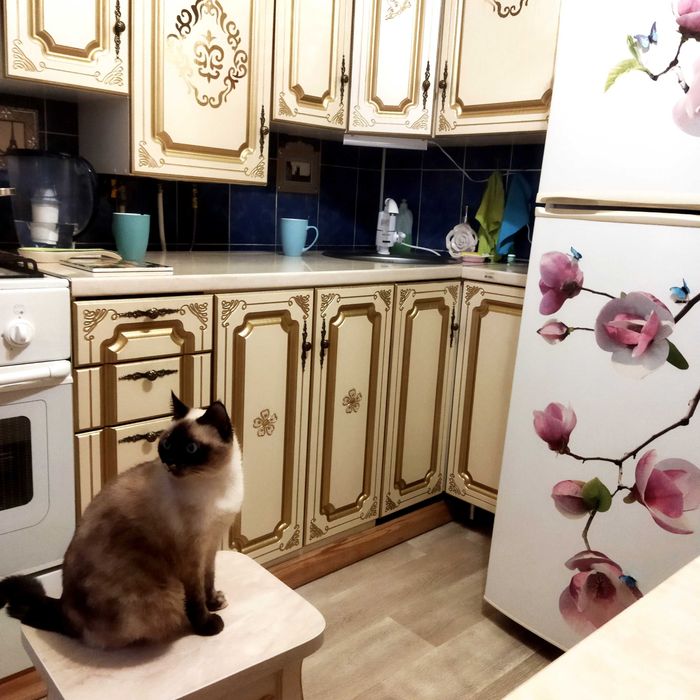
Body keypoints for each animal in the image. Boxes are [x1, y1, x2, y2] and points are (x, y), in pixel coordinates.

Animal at [0, 393, 243, 649]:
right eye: (167, 445)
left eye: (191, 448)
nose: (170, 463)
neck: (216, 483)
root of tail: (64, 609)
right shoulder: (192, 556)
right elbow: (196, 597)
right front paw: (208, 625)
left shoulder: (211, 545)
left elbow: (209, 580)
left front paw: (215, 603)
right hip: (167, 593)